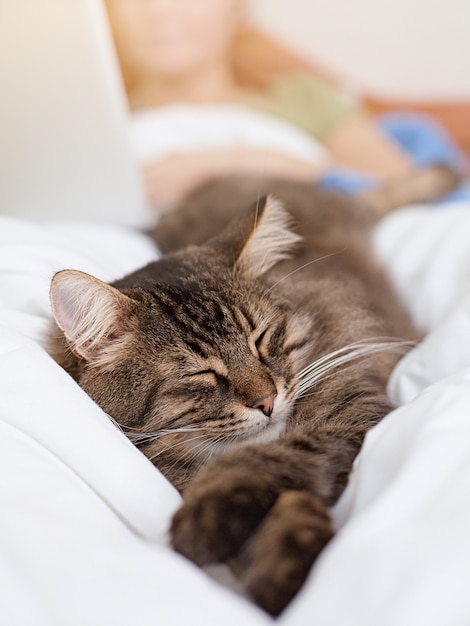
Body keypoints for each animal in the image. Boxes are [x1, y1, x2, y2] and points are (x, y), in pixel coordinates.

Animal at [46, 169, 452, 608]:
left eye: (261, 339)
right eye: (201, 374)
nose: (267, 400)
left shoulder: (354, 410)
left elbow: (270, 459)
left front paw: (206, 521)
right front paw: (287, 571)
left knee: (375, 195)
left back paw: (439, 177)